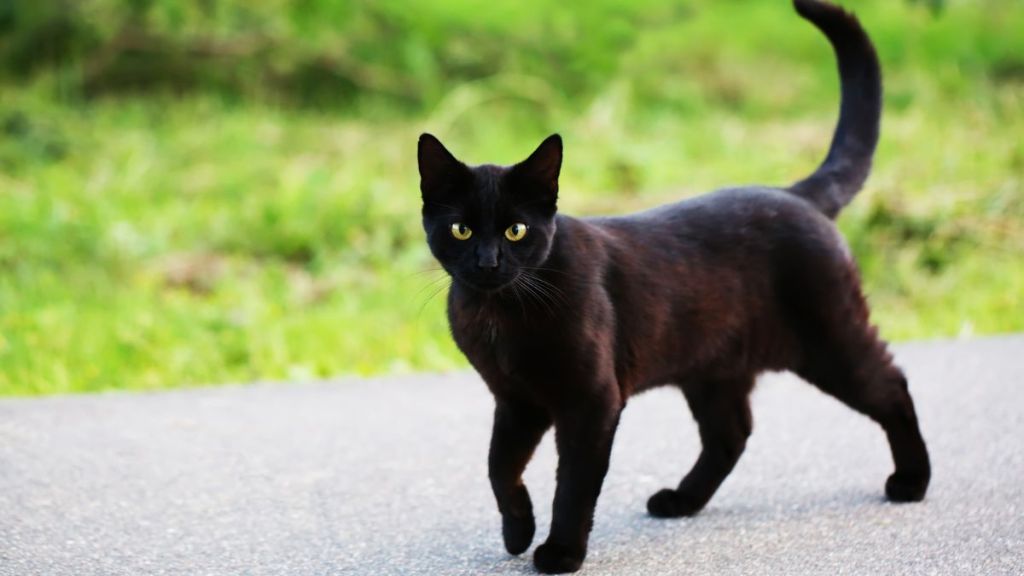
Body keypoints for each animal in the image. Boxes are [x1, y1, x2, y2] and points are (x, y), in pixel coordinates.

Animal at [417, 1, 937, 569]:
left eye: (516, 230)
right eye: (462, 229)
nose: (487, 262)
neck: (500, 314)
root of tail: (796, 194)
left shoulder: (590, 400)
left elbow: (572, 484)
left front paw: (560, 552)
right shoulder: (517, 401)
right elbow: (498, 468)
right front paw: (517, 532)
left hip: (831, 339)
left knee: (892, 384)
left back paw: (912, 480)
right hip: (712, 367)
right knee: (731, 433)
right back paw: (681, 500)